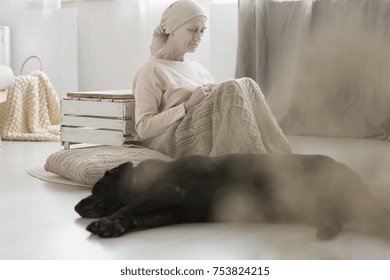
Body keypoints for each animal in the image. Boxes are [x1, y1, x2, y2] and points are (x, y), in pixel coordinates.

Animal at [74, 154, 388, 240]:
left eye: (96, 189)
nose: (76, 206)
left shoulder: (167, 191)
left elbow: (128, 206)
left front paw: (106, 224)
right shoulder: (169, 212)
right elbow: (134, 217)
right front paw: (114, 227)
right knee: (338, 219)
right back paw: (326, 229)